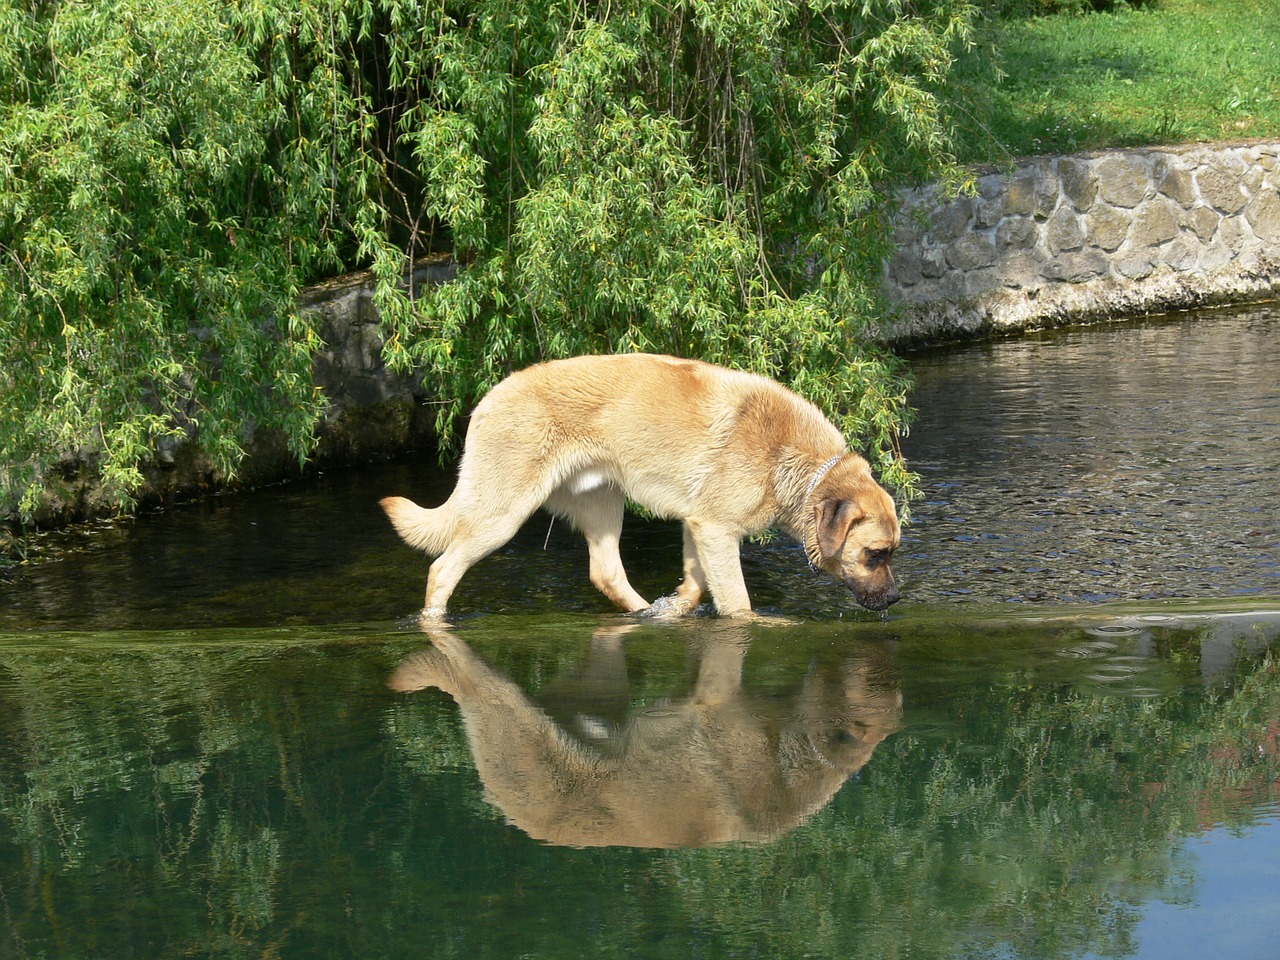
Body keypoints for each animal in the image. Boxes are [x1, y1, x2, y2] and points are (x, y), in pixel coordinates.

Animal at [378, 350, 901, 616]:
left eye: (891, 553)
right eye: (874, 554)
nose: (897, 599)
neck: (793, 461)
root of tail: (486, 400)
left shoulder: (698, 527)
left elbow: (696, 585)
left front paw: (676, 608)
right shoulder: (716, 531)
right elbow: (738, 603)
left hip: (603, 503)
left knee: (605, 573)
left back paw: (645, 614)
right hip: (500, 515)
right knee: (442, 569)